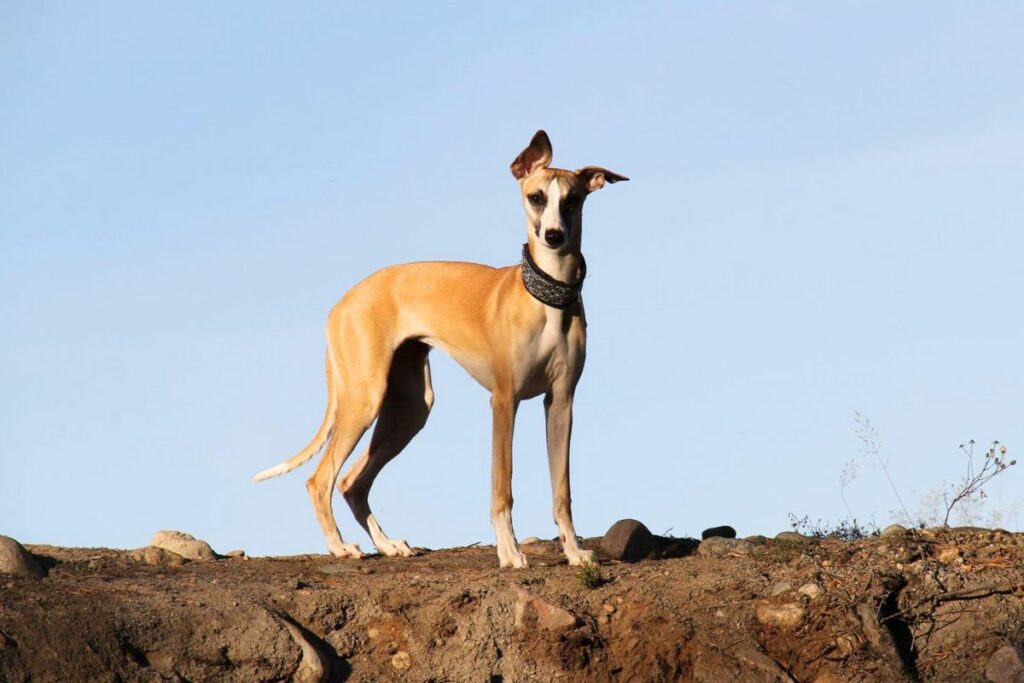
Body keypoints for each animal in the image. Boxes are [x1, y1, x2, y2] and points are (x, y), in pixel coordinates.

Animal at [253, 131, 622, 569]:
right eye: (535, 197)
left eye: (572, 200)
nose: (553, 236)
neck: (546, 297)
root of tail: (342, 302)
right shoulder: (504, 400)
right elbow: (503, 487)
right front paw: (509, 552)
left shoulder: (561, 400)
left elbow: (562, 490)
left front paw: (574, 552)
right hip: (365, 397)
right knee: (321, 478)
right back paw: (341, 547)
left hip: (411, 407)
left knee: (352, 481)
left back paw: (389, 545)